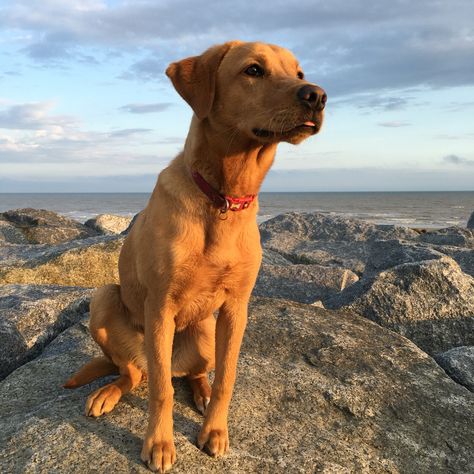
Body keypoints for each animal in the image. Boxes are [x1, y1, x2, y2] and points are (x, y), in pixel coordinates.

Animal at [65, 40, 326, 470]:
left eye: (300, 74)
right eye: (254, 70)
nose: (317, 96)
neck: (222, 197)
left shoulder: (237, 308)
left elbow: (227, 379)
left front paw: (215, 431)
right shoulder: (160, 306)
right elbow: (160, 392)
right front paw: (159, 443)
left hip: (205, 333)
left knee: (192, 374)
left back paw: (199, 391)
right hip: (105, 299)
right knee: (135, 374)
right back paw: (109, 392)